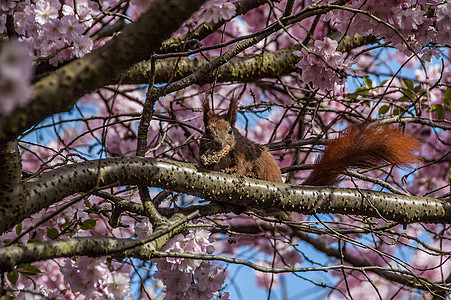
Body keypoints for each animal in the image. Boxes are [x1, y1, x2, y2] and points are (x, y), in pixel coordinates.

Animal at [200, 98, 422, 186]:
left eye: (230, 131)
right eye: (207, 131)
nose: (218, 144)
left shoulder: (244, 151)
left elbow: (242, 164)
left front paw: (233, 170)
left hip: (264, 163)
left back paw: (254, 175)